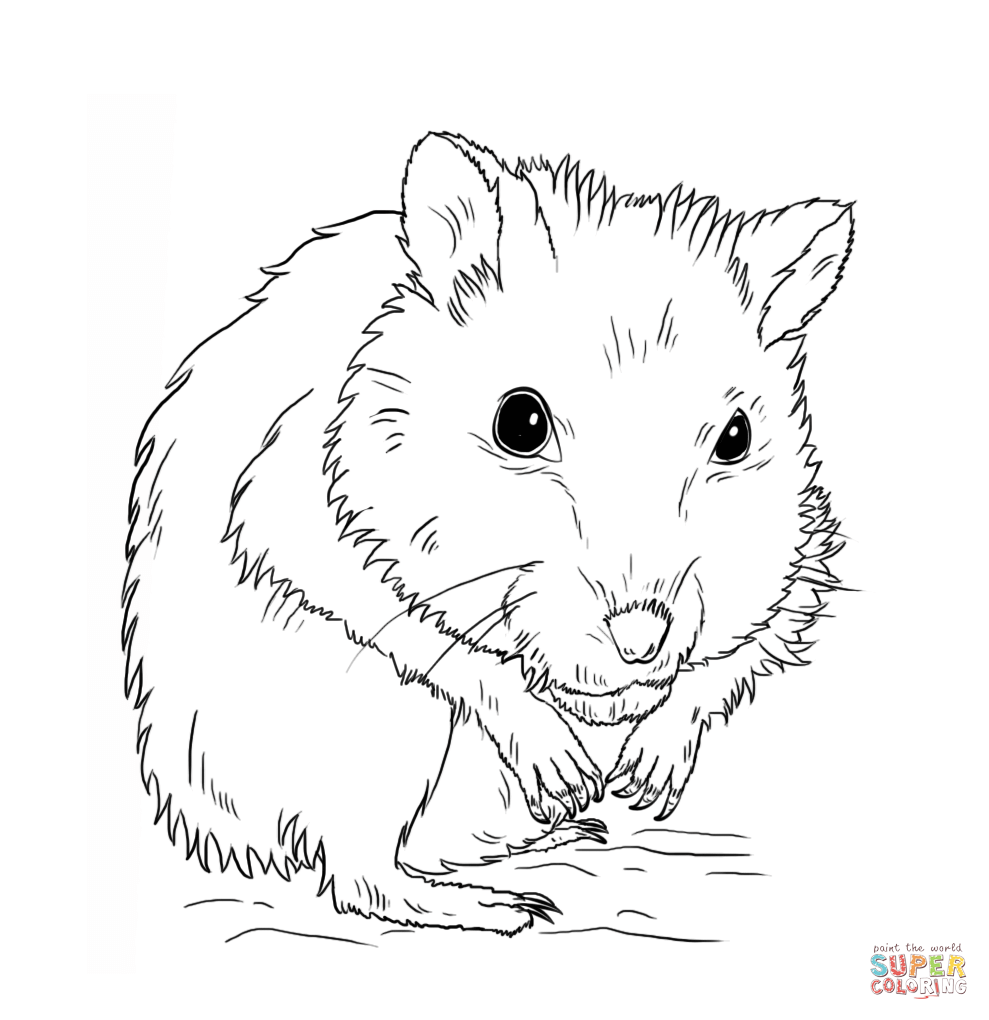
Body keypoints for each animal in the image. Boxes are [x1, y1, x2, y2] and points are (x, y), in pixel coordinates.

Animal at [122, 131, 853, 934]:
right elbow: (427, 632)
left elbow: (738, 652)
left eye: (736, 436)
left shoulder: (801, 557)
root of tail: (207, 822)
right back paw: (505, 900)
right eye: (520, 422)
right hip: (369, 731)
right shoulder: (299, 510)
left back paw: (572, 826)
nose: (640, 643)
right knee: (365, 876)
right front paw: (567, 764)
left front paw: (641, 775)